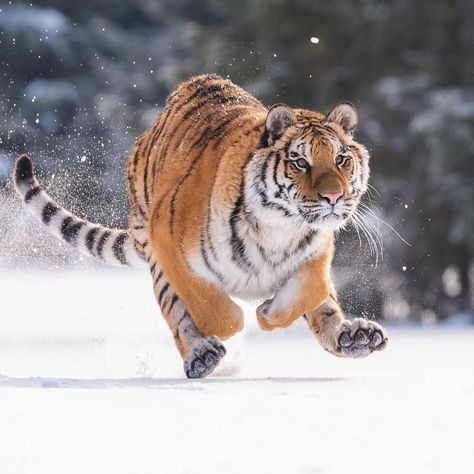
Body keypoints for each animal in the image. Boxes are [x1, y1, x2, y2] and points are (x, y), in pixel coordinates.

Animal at [12, 73, 386, 378]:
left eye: (341, 159)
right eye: (300, 162)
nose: (334, 197)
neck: (281, 227)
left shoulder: (317, 251)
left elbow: (314, 290)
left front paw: (269, 311)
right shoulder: (169, 243)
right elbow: (215, 309)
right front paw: (244, 319)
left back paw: (356, 336)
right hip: (153, 249)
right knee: (178, 313)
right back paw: (201, 356)